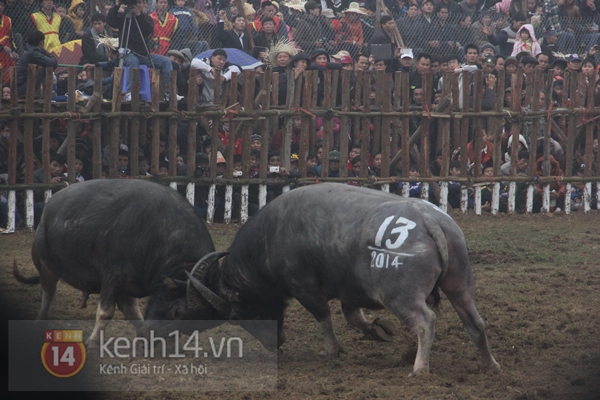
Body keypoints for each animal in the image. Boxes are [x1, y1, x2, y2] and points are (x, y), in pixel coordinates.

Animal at [14, 180, 217, 346]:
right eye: (177, 311)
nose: (159, 340)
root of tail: (49, 208)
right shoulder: (113, 277)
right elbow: (106, 312)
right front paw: (93, 342)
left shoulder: (132, 282)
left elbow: (132, 311)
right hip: (45, 265)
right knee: (48, 293)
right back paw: (39, 321)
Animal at [159, 183, 502, 376]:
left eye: (240, 315)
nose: (275, 343)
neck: (271, 239)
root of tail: (429, 218)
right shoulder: (350, 292)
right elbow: (353, 317)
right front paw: (378, 331)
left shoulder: (303, 287)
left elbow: (323, 317)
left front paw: (331, 350)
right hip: (460, 285)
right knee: (475, 322)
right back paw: (489, 365)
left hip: (402, 297)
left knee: (425, 322)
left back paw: (419, 368)